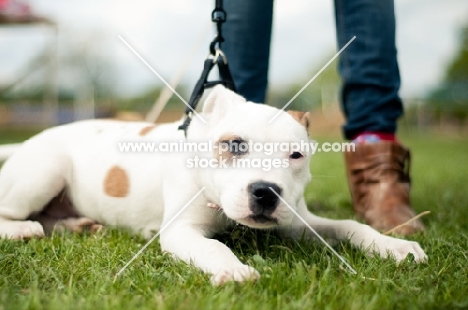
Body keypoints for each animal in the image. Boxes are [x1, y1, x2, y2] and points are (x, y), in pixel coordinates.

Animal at [0, 86, 426, 284]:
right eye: (234, 145)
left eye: (296, 155)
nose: (266, 192)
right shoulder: (180, 232)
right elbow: (214, 247)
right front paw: (234, 271)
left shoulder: (298, 221)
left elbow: (351, 226)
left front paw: (395, 246)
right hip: (45, 170)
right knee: (13, 213)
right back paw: (23, 230)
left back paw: (79, 226)